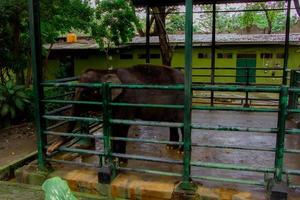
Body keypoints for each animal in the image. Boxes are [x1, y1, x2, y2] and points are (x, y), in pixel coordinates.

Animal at [47, 64, 184, 161]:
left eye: (86, 94)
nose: (49, 150)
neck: (106, 72)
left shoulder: (127, 99)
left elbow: (122, 126)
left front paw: (121, 160)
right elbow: (112, 126)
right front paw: (113, 158)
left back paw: (180, 151)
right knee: (172, 122)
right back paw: (170, 147)